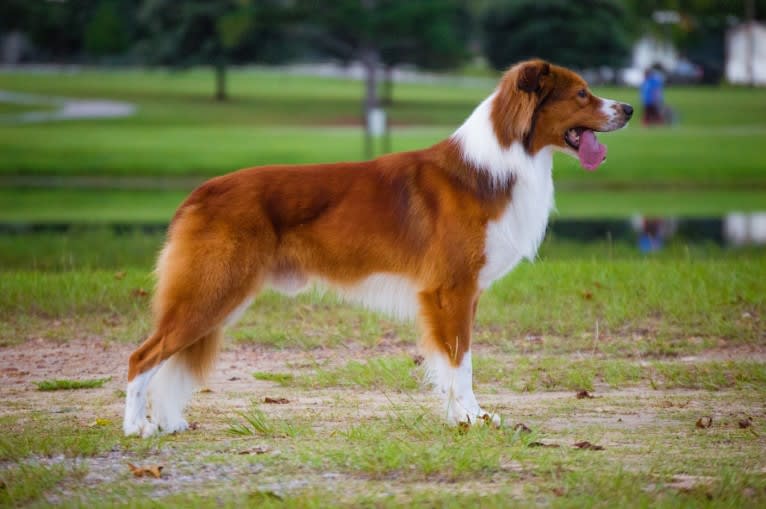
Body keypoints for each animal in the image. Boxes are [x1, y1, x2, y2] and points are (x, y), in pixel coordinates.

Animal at [123, 60, 632, 436]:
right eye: (582, 94)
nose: (628, 108)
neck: (498, 163)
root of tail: (197, 194)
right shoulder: (450, 291)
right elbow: (460, 361)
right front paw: (472, 418)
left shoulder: (464, 295)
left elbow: (455, 362)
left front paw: (459, 417)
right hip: (211, 291)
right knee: (142, 356)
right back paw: (137, 427)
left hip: (219, 297)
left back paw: (167, 422)